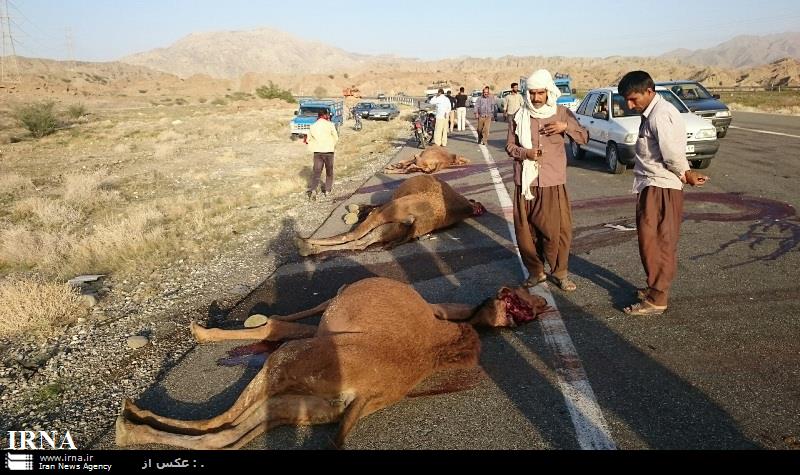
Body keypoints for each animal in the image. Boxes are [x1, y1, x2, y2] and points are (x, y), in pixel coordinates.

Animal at [114, 278, 552, 448]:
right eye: (521, 301)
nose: (542, 297)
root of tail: (366, 392)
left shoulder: (325, 313)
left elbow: (276, 323)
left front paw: (204, 331)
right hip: (308, 405)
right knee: (227, 434)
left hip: (290, 364)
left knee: (220, 422)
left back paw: (127, 423)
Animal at [294, 174, 482, 256]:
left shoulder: (385, 208)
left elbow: (368, 209)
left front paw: (356, 211)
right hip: (393, 227)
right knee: (361, 242)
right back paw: (309, 248)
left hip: (387, 213)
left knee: (352, 235)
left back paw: (304, 244)